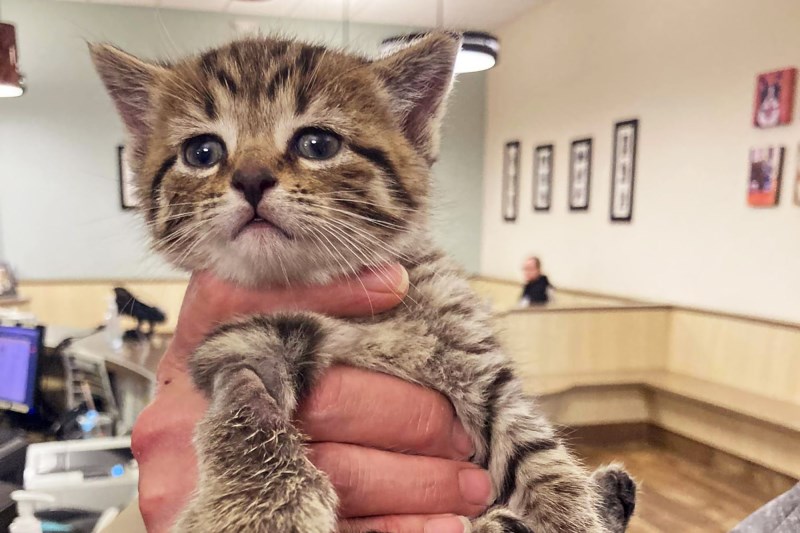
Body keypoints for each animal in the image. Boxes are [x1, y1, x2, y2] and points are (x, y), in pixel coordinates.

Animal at [90, 34, 636, 532]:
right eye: (202, 152)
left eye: (318, 144)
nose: (250, 178)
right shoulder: (233, 343)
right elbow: (244, 411)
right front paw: (259, 505)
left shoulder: (476, 358)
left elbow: (534, 446)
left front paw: (573, 513)